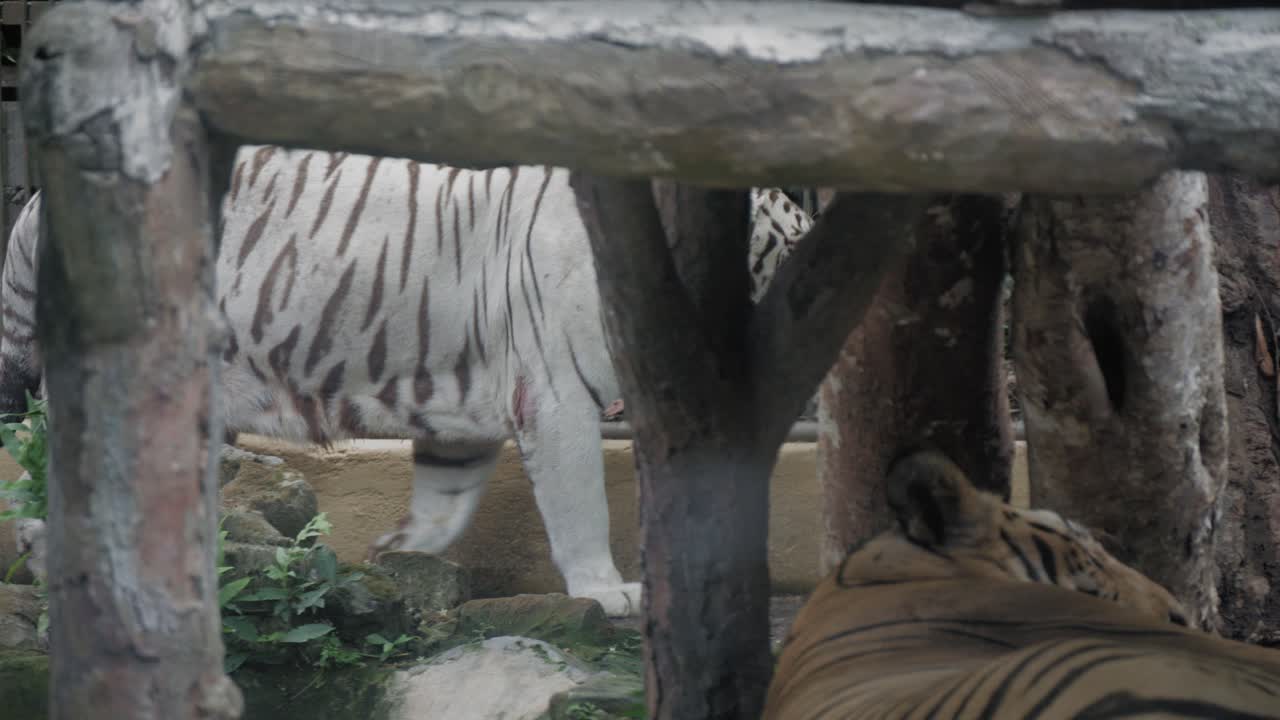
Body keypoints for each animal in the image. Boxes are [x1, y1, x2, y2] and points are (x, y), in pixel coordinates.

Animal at [0, 146, 813, 617]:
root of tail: (32, 203)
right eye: (793, 248)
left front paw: (393, 552)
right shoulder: (556, 394)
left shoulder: (465, 415)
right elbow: (581, 504)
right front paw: (606, 591)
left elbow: (445, 507)